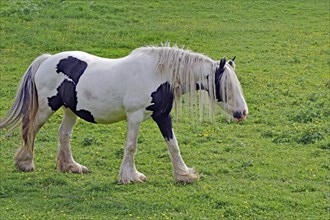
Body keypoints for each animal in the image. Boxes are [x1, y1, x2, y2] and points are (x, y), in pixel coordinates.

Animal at [0, 45, 248, 184]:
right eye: (226, 86)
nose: (242, 113)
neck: (158, 74)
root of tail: (47, 59)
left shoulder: (162, 116)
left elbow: (173, 145)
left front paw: (184, 175)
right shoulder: (135, 116)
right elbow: (131, 146)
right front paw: (130, 177)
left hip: (71, 110)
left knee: (63, 134)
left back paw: (71, 166)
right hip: (46, 107)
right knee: (30, 129)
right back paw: (25, 163)